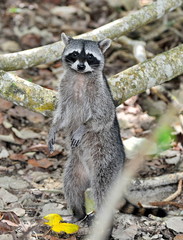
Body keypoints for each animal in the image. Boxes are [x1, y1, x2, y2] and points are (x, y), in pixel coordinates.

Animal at [48, 32, 167, 222]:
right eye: (75, 54)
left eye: (89, 56)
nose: (80, 66)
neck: (80, 76)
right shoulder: (64, 88)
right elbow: (62, 113)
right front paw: (54, 127)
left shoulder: (101, 93)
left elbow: (103, 116)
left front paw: (83, 127)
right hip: (76, 166)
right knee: (71, 184)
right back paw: (78, 214)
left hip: (106, 164)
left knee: (102, 191)